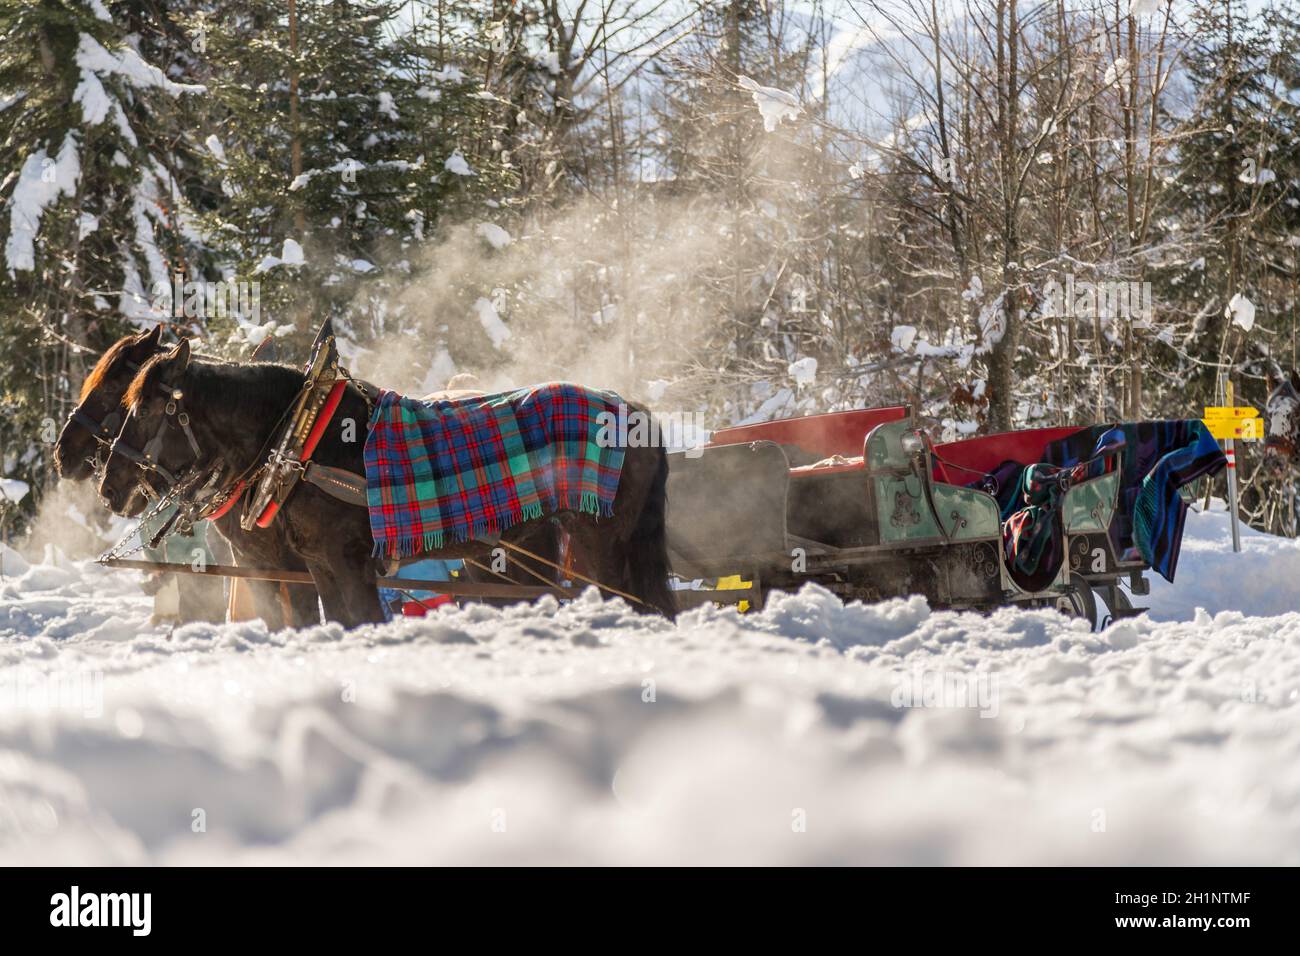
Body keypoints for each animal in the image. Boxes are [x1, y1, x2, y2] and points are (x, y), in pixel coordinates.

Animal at [97, 340, 677, 627]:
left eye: (143, 407)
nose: (109, 487)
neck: (299, 442)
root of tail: (636, 409)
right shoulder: (313, 565)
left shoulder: (343, 561)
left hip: (599, 543)